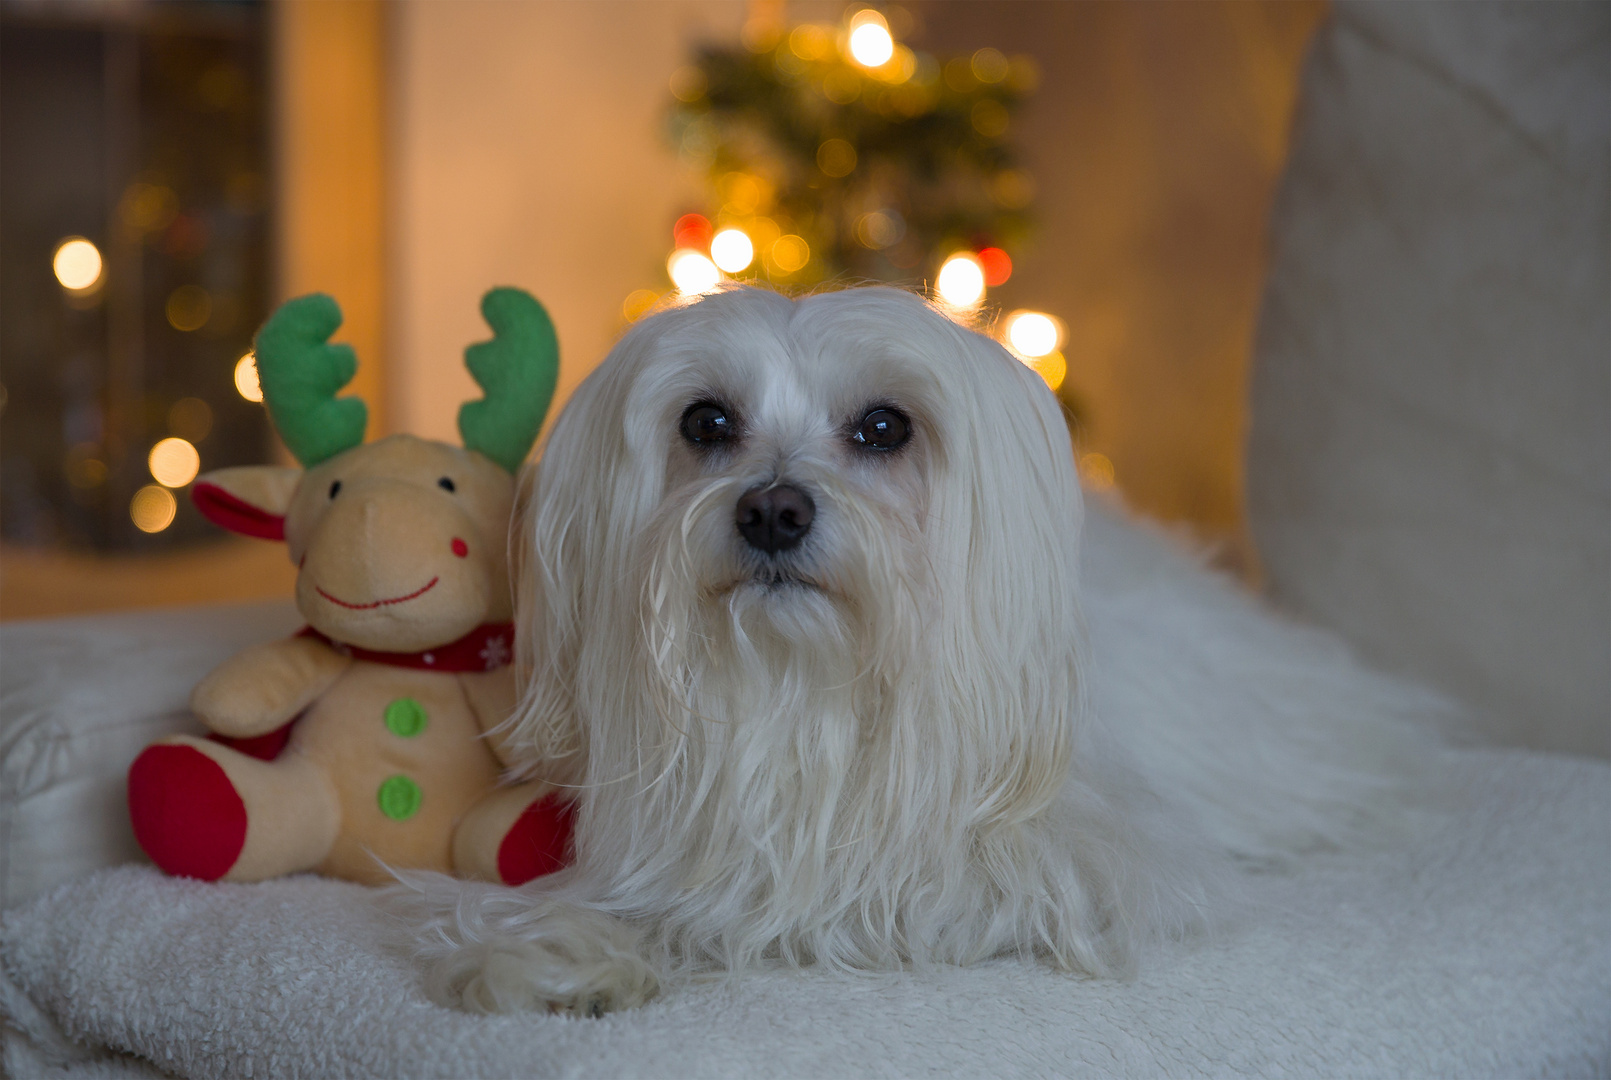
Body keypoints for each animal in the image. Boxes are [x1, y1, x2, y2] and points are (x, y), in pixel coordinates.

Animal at [393, 283, 1437, 1018]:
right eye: (706, 421)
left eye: (885, 427)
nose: (772, 511)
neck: (805, 698)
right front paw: (558, 956)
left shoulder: (1084, 867)